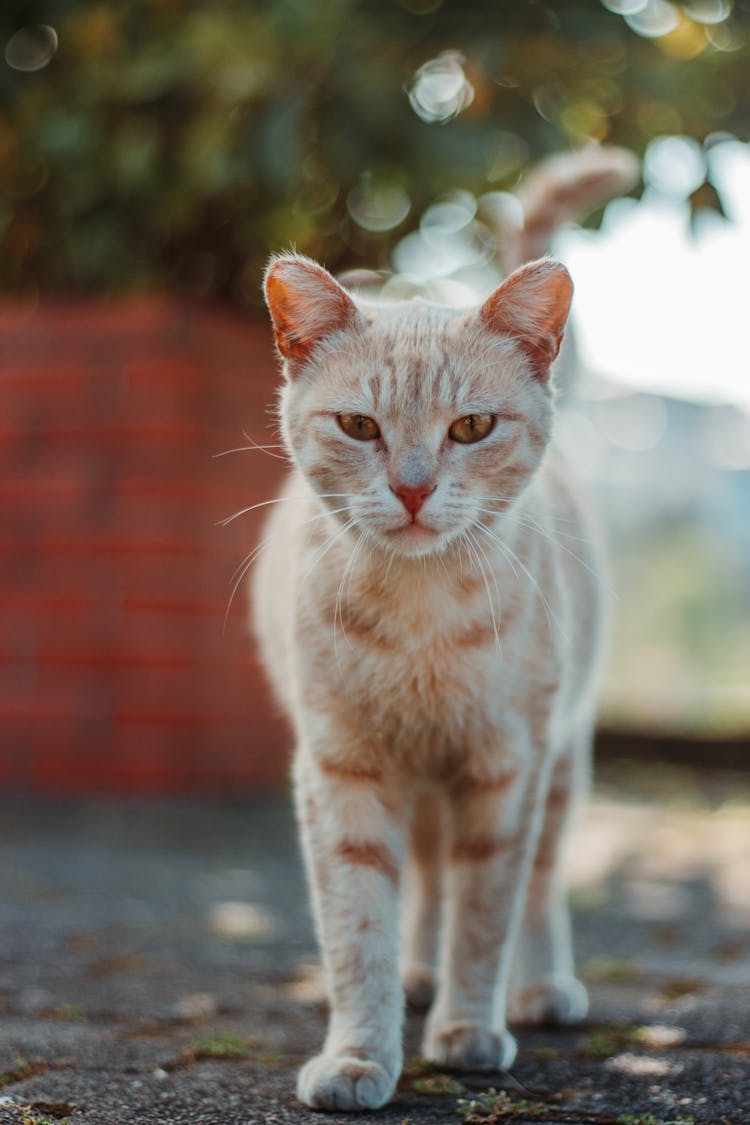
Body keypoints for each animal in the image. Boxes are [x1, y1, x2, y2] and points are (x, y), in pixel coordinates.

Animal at [250, 147, 634, 1107]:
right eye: (359, 425)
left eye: (472, 426)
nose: (415, 487)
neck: (419, 618)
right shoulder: (342, 767)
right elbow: (359, 925)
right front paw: (361, 1051)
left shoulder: (506, 770)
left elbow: (487, 913)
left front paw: (468, 1029)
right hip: (419, 787)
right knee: (422, 880)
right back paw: (417, 979)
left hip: (560, 765)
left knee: (538, 885)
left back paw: (540, 988)